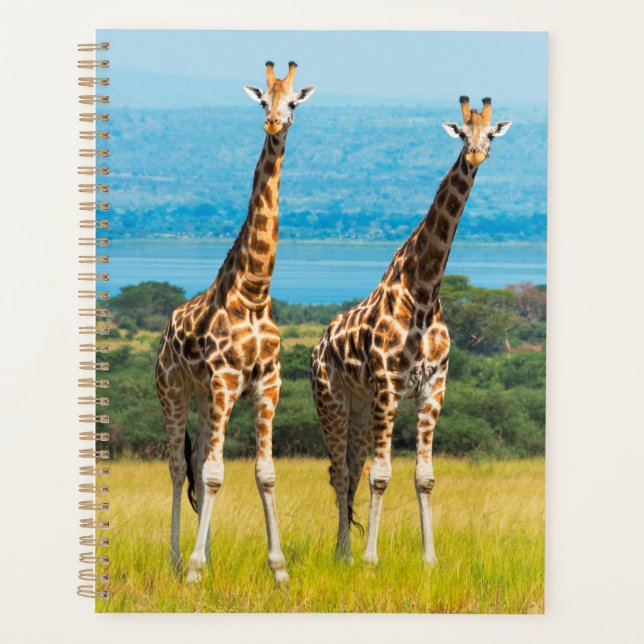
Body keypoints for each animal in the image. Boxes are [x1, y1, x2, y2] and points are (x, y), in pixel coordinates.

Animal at [156, 61, 316, 584]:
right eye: (263, 100)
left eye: (292, 102)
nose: (273, 124)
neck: (254, 292)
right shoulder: (226, 380)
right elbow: (211, 474)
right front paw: (194, 571)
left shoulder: (267, 384)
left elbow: (263, 473)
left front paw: (279, 570)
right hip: (175, 390)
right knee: (178, 467)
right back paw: (176, 559)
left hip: (208, 399)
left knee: (199, 460)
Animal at [311, 97, 511, 565]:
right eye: (462, 133)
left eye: (491, 134)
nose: (476, 154)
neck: (422, 291)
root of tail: (317, 346)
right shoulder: (388, 384)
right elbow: (381, 475)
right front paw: (370, 561)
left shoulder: (433, 387)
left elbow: (424, 476)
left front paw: (430, 560)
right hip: (332, 399)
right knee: (340, 472)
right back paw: (345, 555)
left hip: (361, 407)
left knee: (350, 468)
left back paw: (345, 551)